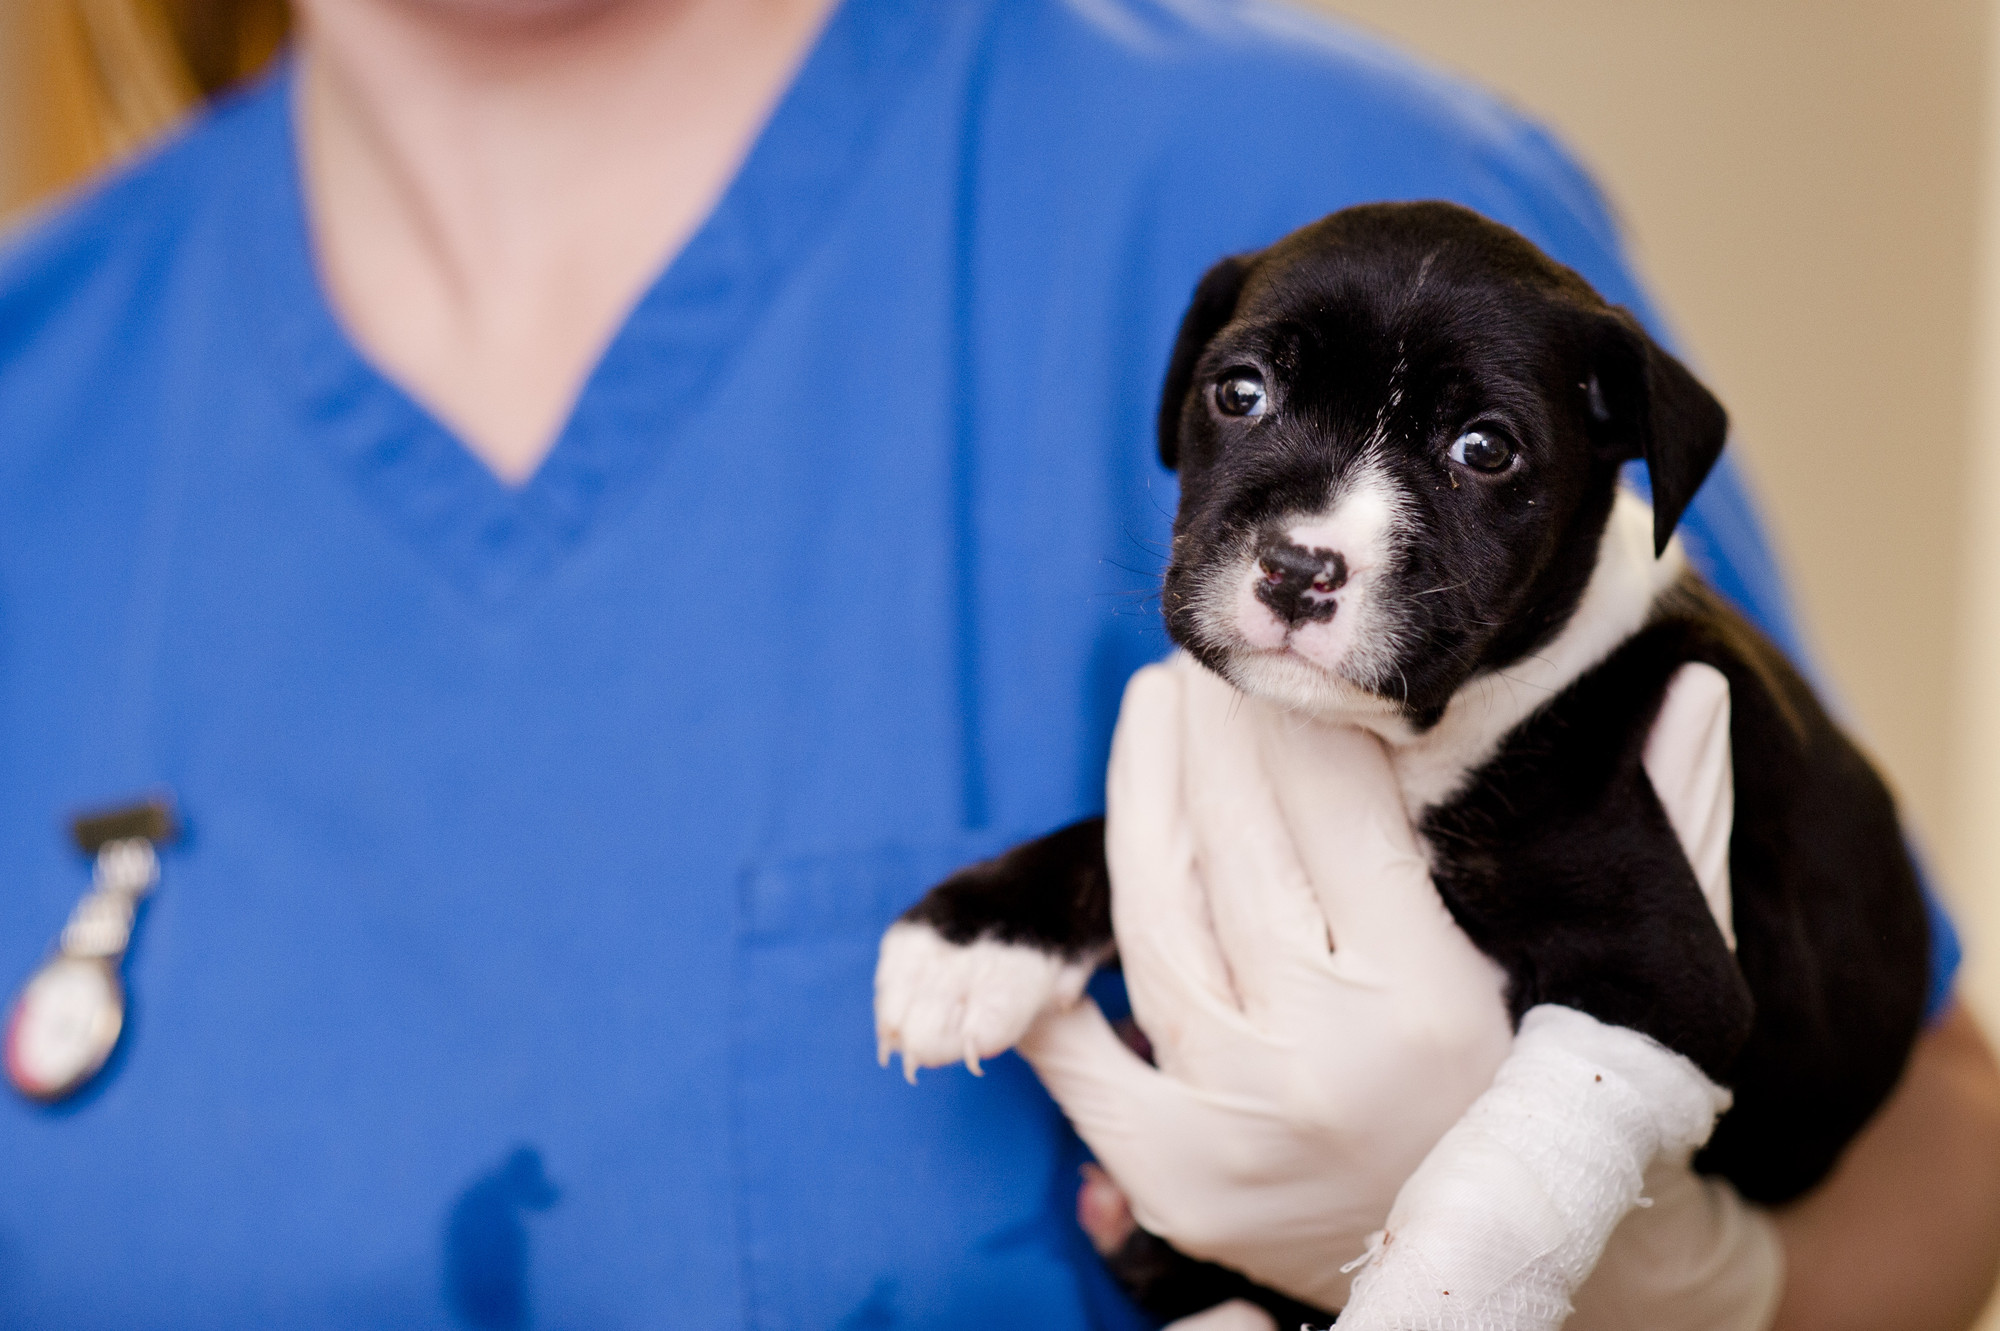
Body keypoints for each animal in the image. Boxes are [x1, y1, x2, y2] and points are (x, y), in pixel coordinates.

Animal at [868, 201, 1928, 1319]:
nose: (1297, 567)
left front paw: (1432, 1289)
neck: (1425, 731)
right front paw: (971, 938)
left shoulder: (1660, 978)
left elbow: (1489, 1208)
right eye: (1240, 392)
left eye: (1485, 449)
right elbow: (1111, 845)